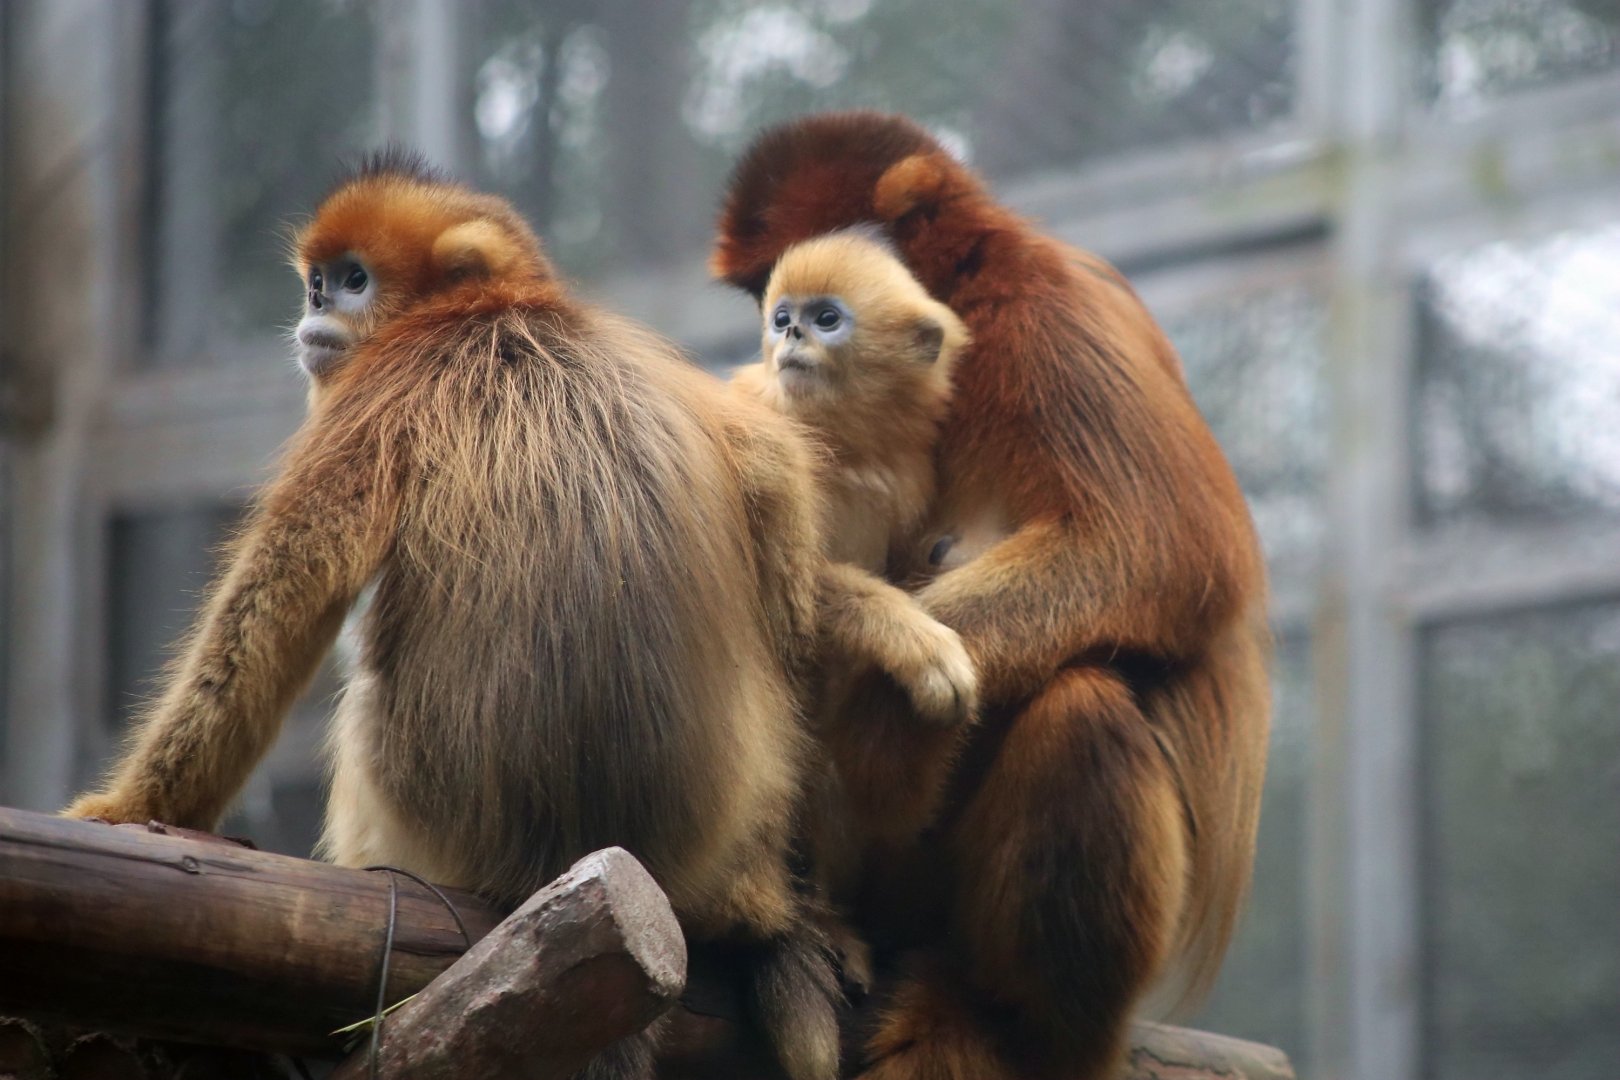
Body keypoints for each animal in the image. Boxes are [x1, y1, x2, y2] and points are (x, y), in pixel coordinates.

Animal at [66, 152, 848, 1080]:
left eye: (353, 281)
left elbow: (278, 600)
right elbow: (772, 467)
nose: (314, 311)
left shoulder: (379, 391)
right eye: (317, 282)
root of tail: (599, 837)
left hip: (415, 809)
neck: (496, 312)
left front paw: (130, 809)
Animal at [711, 112, 1272, 1080]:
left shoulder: (1042, 311)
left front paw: (882, 731)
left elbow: (1165, 548)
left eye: (820, 308)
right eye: (761, 299)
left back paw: (1023, 1027)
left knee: (1082, 709)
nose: (778, 339)